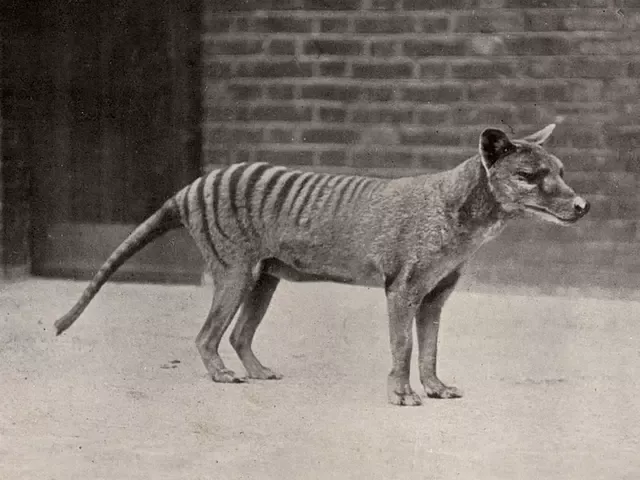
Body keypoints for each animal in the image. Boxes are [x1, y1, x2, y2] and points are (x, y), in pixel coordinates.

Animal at [55, 124, 592, 404]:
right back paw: (222, 375)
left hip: (264, 276)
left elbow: (431, 347)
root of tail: (189, 188)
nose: (582, 206)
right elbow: (402, 346)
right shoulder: (402, 289)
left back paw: (256, 370)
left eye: (561, 171)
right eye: (529, 175)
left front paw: (436, 387)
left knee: (240, 334)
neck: (456, 209)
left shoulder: (435, 295)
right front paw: (402, 393)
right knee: (207, 335)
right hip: (234, 272)